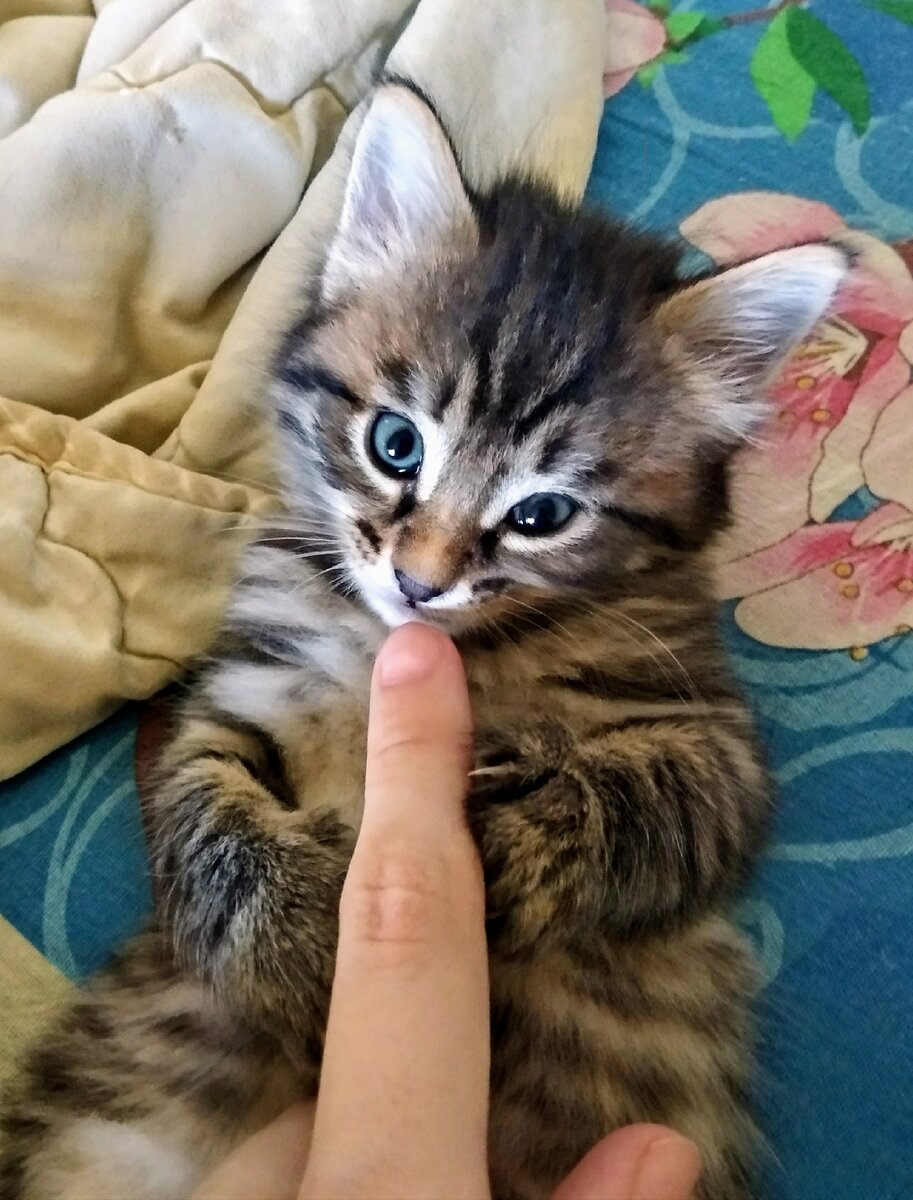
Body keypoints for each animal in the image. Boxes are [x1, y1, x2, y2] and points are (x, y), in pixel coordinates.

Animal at [0, 81, 847, 1200]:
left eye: (542, 514)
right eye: (394, 444)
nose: (420, 580)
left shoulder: (715, 743)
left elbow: (644, 798)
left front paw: (506, 835)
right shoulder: (237, 694)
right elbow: (201, 807)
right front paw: (294, 931)